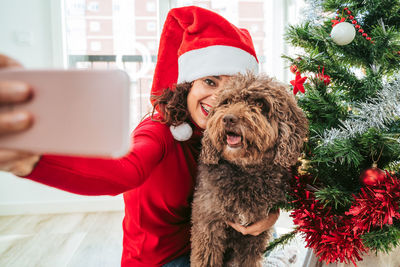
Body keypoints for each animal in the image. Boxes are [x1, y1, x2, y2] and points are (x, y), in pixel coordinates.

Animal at [191, 72, 310, 266]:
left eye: (260, 104)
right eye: (227, 101)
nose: (228, 118)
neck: (245, 171)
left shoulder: (254, 236)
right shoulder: (209, 225)